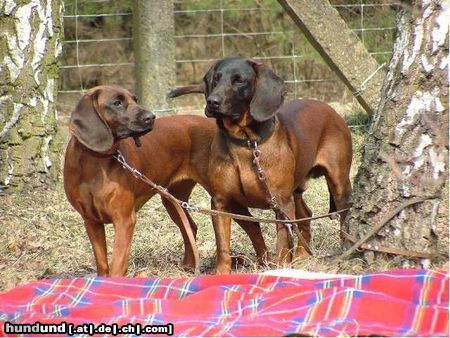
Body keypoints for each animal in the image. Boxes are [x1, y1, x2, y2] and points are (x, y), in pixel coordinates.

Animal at [62, 85, 268, 278]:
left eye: (135, 99)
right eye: (117, 103)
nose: (150, 117)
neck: (94, 164)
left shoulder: (124, 220)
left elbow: (117, 265)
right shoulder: (91, 222)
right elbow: (103, 264)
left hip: (224, 198)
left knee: (252, 225)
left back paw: (265, 263)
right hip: (173, 199)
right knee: (191, 227)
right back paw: (189, 267)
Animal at [167, 57, 354, 274]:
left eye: (239, 80)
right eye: (216, 78)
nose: (212, 101)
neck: (246, 143)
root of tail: (330, 109)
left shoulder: (281, 204)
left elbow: (282, 247)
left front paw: (280, 269)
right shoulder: (221, 202)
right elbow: (223, 246)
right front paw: (221, 273)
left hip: (338, 183)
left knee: (343, 216)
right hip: (295, 191)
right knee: (305, 215)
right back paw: (302, 254)